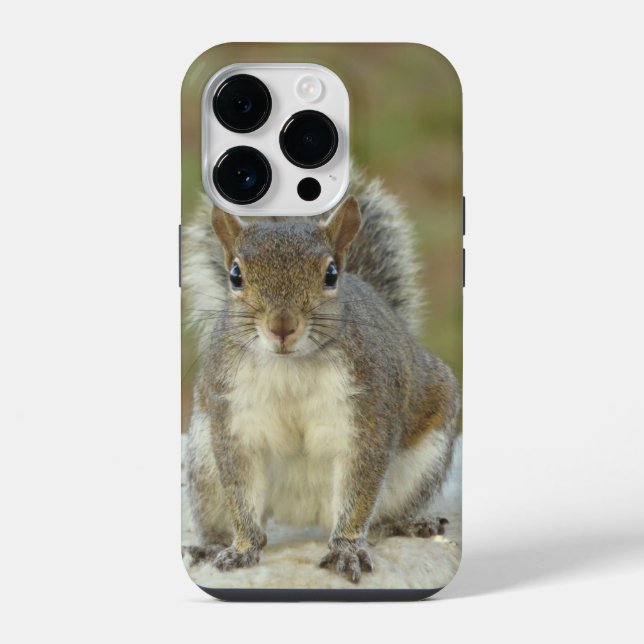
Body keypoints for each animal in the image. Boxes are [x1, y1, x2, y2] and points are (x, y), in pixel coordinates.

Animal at [182, 171, 461, 583]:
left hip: (421, 461)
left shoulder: (366, 413)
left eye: (331, 274)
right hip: (203, 467)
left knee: (379, 517)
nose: (282, 326)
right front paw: (242, 548)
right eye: (235, 275)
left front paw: (346, 549)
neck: (290, 366)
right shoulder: (232, 420)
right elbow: (240, 489)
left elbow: (360, 490)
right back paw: (214, 545)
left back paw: (407, 524)